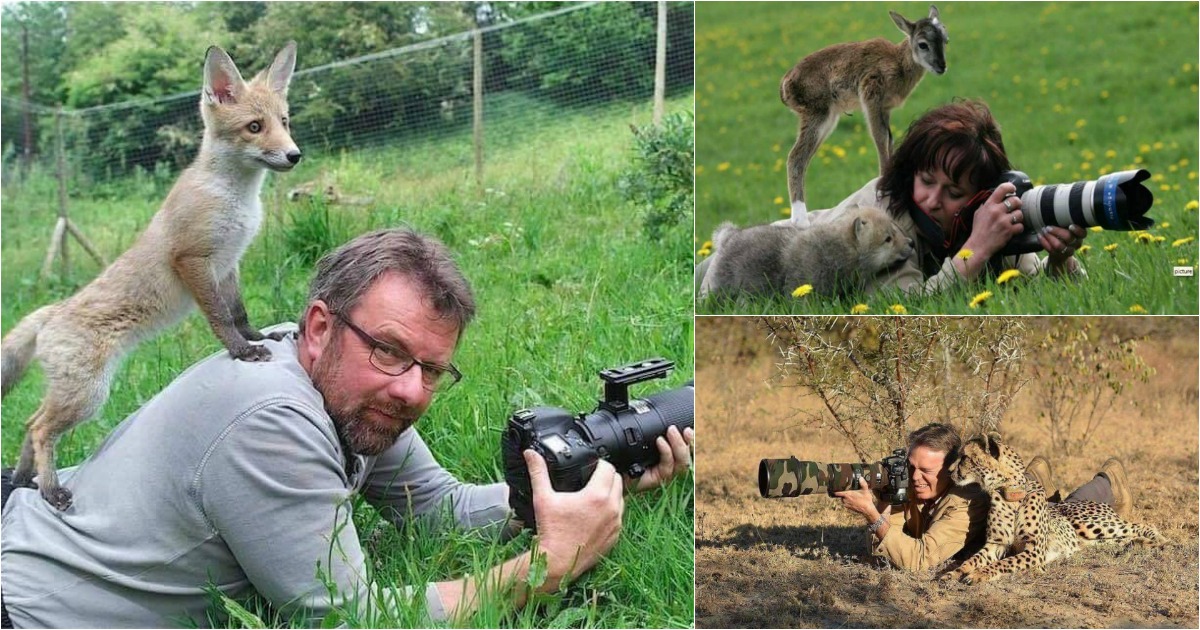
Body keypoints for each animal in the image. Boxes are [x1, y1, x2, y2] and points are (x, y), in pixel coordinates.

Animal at [936, 429, 1161, 583]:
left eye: (965, 457)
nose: (949, 471)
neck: (1010, 494)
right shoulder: (996, 544)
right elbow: (971, 560)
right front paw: (952, 573)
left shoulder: (1034, 550)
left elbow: (1003, 563)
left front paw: (979, 574)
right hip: (1092, 540)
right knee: (1121, 538)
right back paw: (1139, 543)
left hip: (1089, 523)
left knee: (1143, 526)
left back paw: (1158, 541)